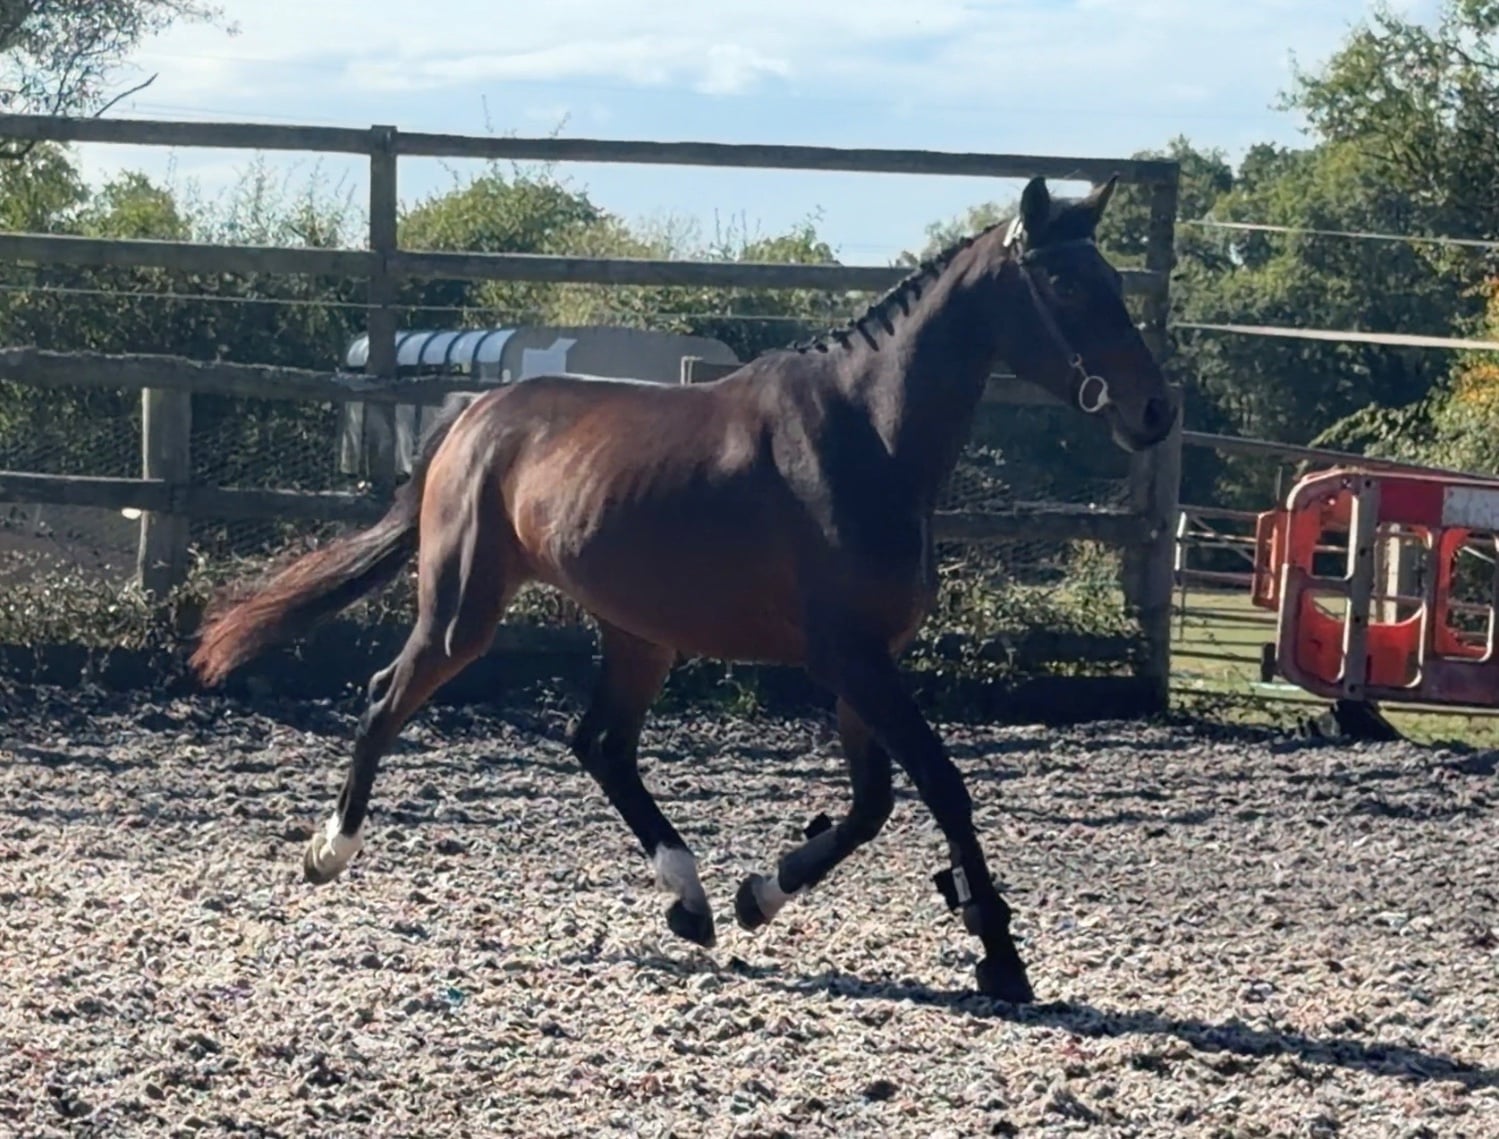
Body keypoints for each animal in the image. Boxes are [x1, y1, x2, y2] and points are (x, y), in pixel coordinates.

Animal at [188, 174, 1177, 1004]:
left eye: (1113, 281)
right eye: (1067, 287)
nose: (1155, 412)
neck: (868, 436)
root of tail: (473, 415)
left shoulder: (862, 663)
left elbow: (871, 803)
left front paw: (759, 895)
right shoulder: (850, 657)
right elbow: (939, 785)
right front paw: (999, 953)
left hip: (638, 632)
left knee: (599, 743)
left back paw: (691, 900)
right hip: (464, 608)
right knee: (386, 696)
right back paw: (329, 850)